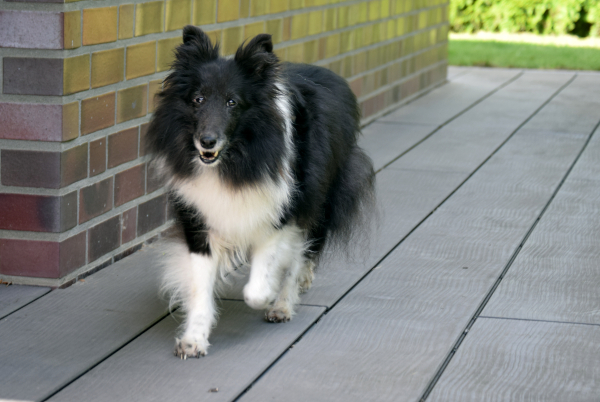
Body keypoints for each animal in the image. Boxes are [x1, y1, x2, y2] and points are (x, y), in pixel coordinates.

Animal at [146, 25, 376, 358]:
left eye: (232, 102)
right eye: (197, 99)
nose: (207, 142)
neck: (235, 161)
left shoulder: (281, 212)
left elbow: (261, 281)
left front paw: (269, 297)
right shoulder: (199, 220)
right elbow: (200, 285)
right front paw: (193, 340)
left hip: (320, 196)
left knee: (304, 253)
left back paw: (283, 304)